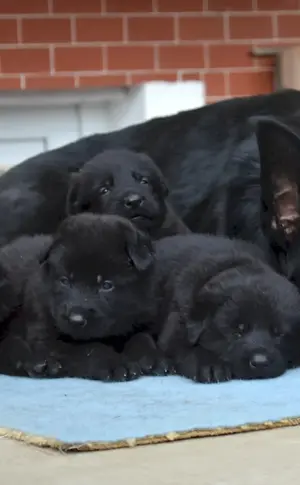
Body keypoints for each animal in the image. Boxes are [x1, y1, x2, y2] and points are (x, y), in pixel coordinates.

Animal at [0, 214, 168, 380]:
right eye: (65, 281)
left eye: (106, 285)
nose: (76, 319)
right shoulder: (47, 335)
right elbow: (90, 348)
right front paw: (117, 364)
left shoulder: (143, 317)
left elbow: (142, 336)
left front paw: (152, 358)